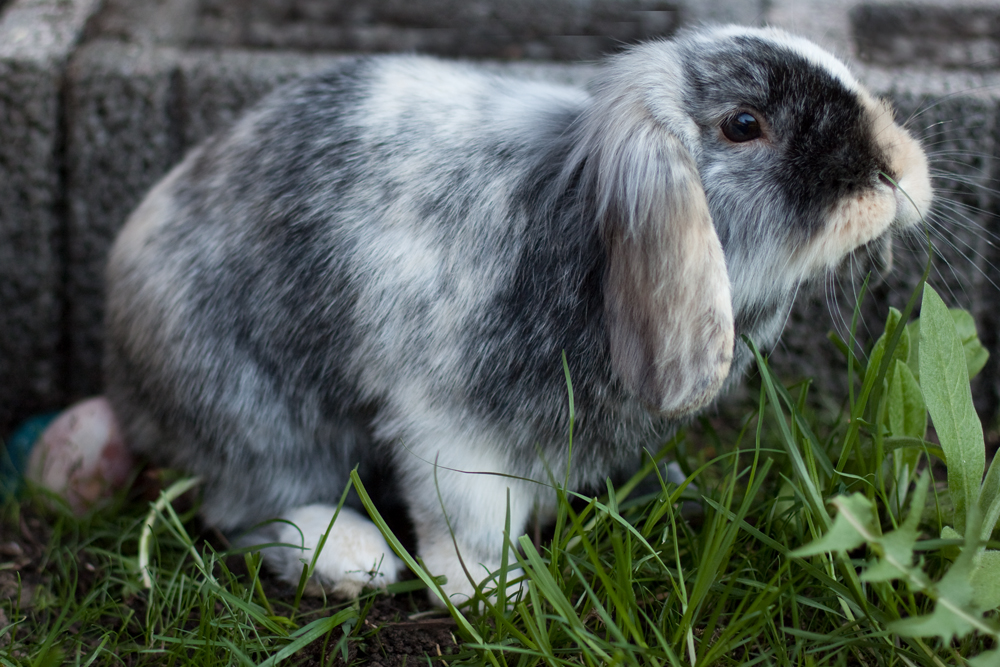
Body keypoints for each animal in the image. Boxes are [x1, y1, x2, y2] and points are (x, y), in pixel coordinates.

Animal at [105, 26, 932, 604]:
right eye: (743, 123)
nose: (898, 167)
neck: (586, 230)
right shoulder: (450, 428)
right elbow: (463, 518)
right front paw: (488, 593)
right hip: (251, 408)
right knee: (239, 507)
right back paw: (348, 556)